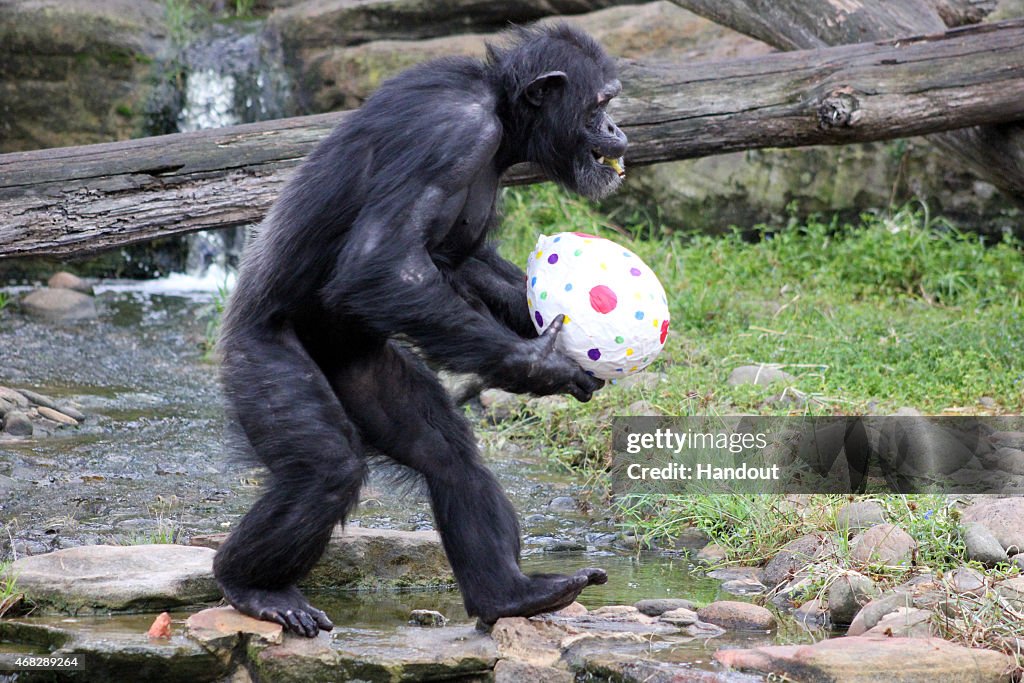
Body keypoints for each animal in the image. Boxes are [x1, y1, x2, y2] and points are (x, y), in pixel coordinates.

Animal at [216, 24, 626, 638]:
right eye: (599, 105)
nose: (617, 128)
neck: (501, 114)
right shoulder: (451, 132)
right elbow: (381, 263)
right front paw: (541, 364)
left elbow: (464, 261)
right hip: (258, 358)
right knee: (326, 468)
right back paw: (253, 586)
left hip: (361, 369)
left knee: (446, 454)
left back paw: (511, 594)